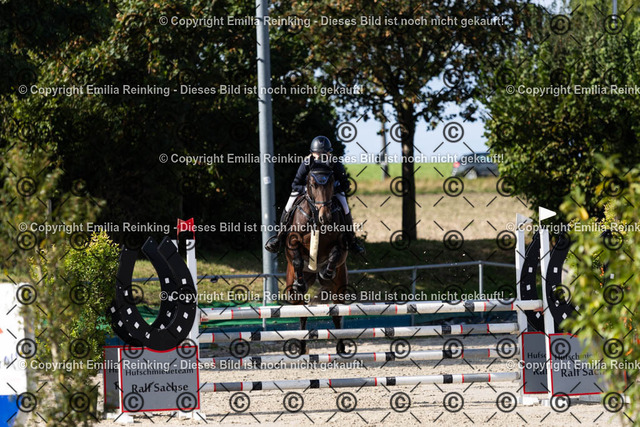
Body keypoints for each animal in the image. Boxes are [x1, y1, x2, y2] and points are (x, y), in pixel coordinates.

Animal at [284, 163, 349, 355]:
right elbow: (297, 259)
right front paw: (300, 283)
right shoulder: (292, 244)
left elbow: (335, 255)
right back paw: (301, 346)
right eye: (312, 184)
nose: (325, 217)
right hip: (293, 290)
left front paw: (326, 273)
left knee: (337, 313)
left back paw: (341, 346)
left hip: (340, 287)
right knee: (300, 311)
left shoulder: (341, 246)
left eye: (332, 183)